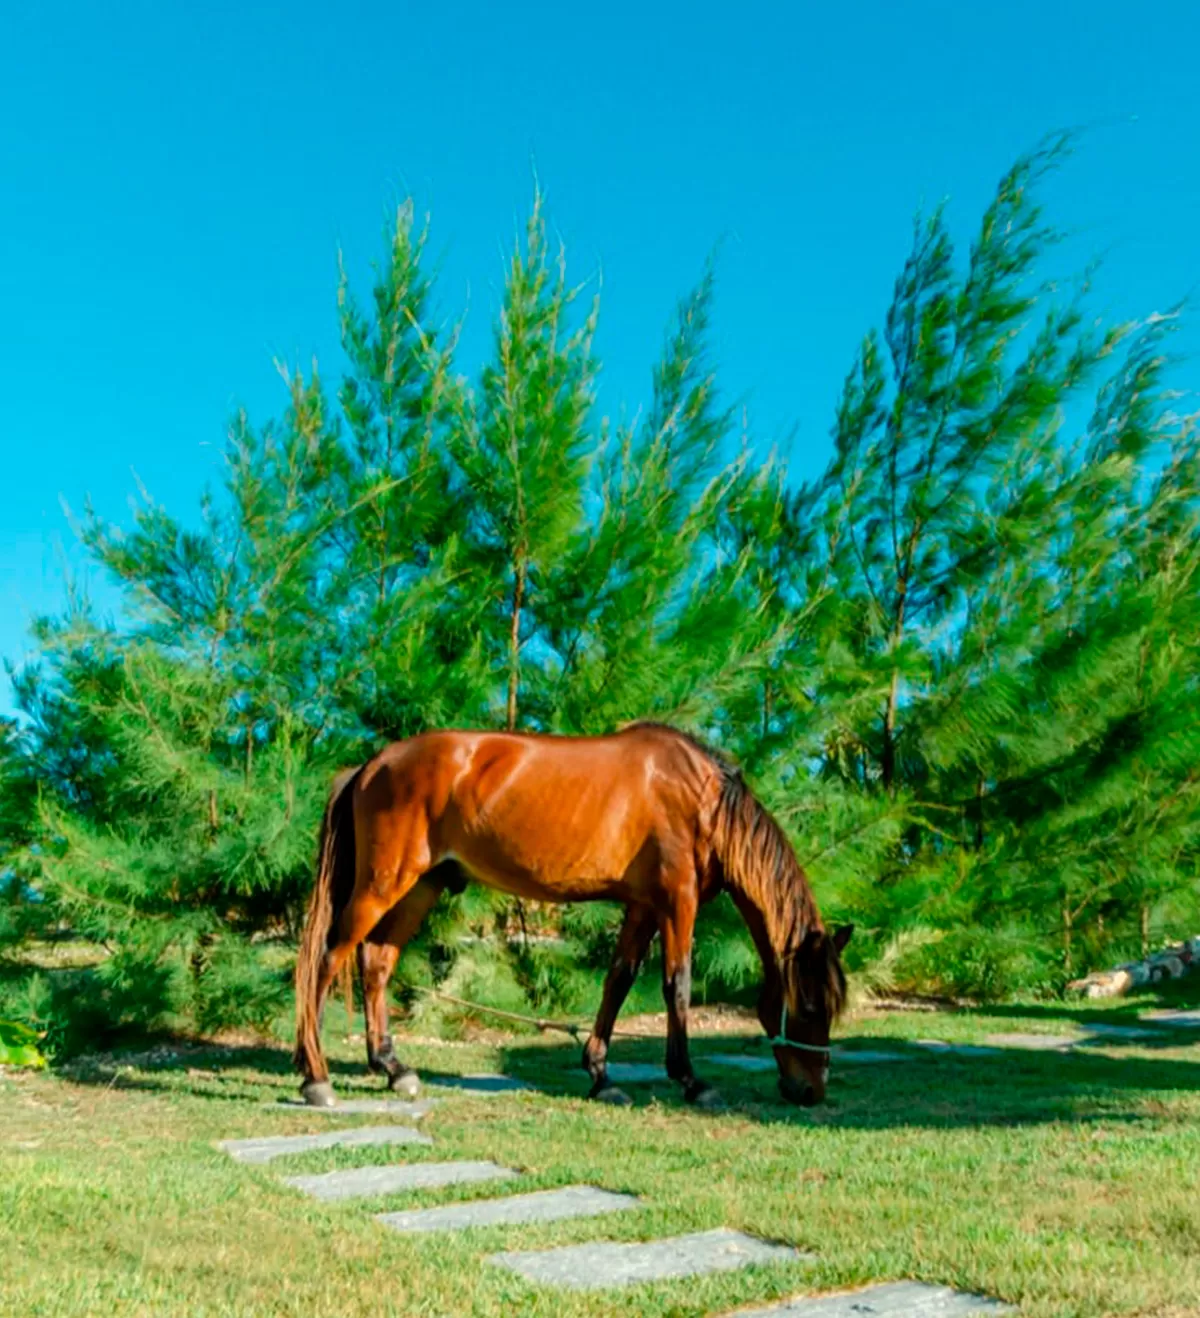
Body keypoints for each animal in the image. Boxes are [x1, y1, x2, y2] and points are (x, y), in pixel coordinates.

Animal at [293, 722, 852, 1109]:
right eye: (807, 1008)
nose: (812, 1091)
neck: (702, 798)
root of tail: (369, 766)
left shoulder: (644, 905)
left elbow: (619, 980)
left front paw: (601, 1077)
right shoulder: (678, 900)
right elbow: (678, 985)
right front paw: (693, 1081)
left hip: (420, 888)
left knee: (376, 963)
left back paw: (393, 1068)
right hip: (382, 885)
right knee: (325, 960)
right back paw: (315, 1077)